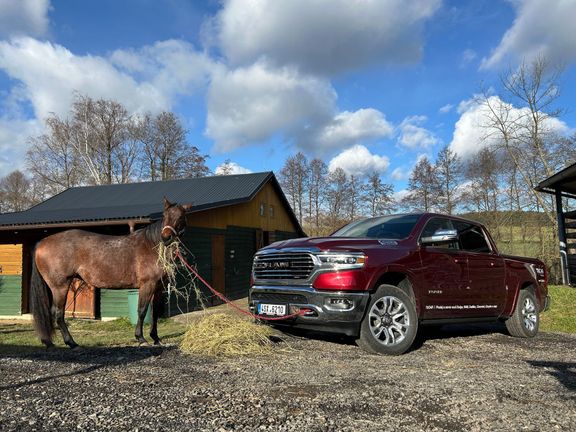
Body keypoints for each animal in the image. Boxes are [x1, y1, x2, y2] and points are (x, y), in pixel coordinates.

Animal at [31, 198, 191, 348]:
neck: (151, 245)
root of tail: (41, 243)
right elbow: (142, 310)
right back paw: (71, 343)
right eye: (165, 215)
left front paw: (156, 338)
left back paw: (49, 342)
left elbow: (155, 312)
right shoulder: (147, 285)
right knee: (58, 313)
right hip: (60, 287)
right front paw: (141, 338)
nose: (166, 238)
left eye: (181, 216)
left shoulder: (159, 287)